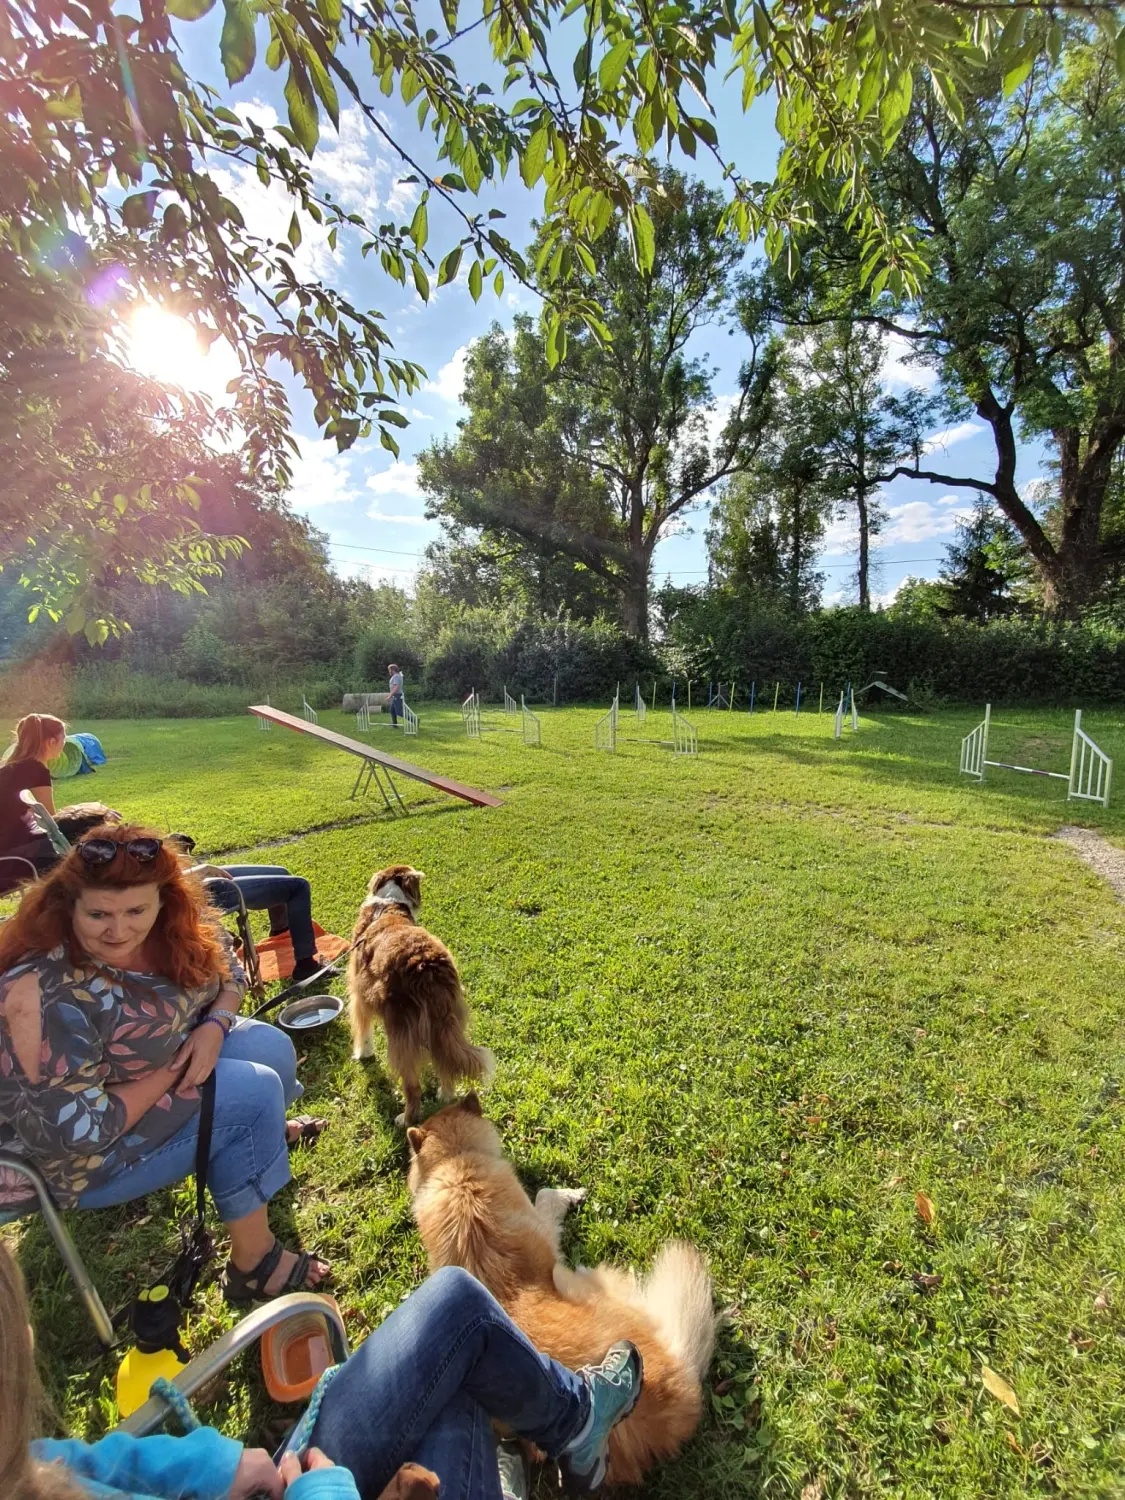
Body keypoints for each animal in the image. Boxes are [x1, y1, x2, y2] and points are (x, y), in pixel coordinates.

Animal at [348, 870, 492, 1128]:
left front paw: (363, 1054)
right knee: (446, 1063)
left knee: (413, 1088)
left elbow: (363, 1032)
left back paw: (405, 1119)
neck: (389, 904)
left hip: (401, 1037)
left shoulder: (359, 997)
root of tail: (427, 968)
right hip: (447, 1022)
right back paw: (446, 1094)